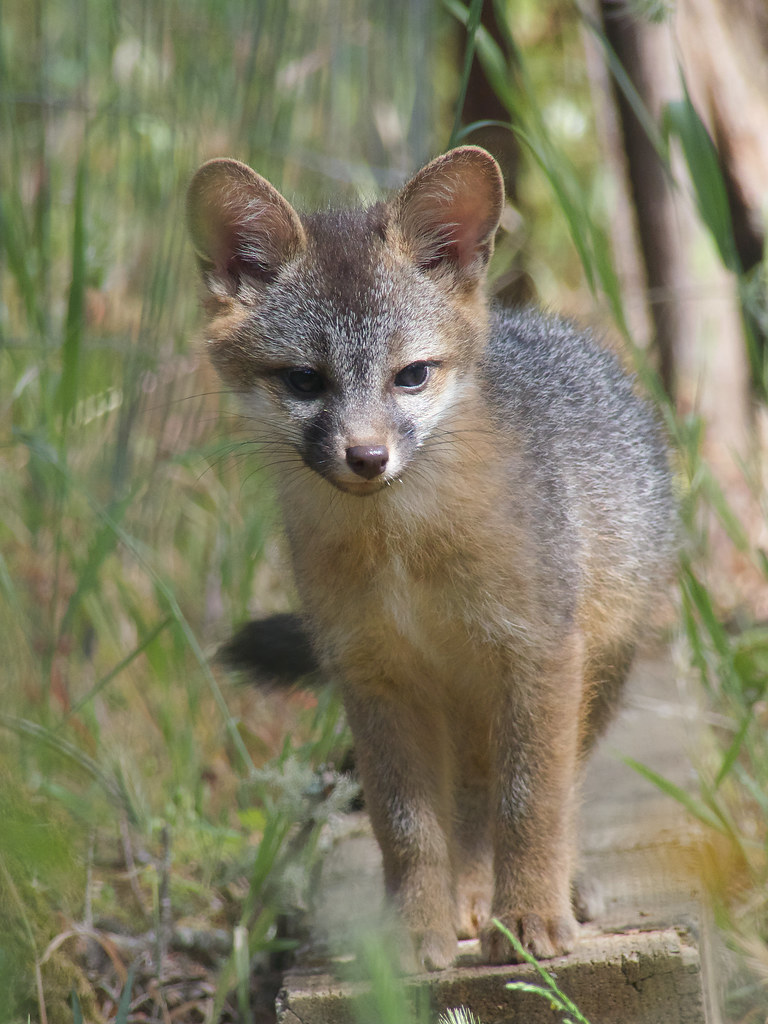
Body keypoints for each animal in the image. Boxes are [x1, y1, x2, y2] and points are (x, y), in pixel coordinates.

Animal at [186, 146, 677, 971]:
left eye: (411, 375)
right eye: (304, 381)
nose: (366, 456)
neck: (402, 553)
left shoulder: (539, 653)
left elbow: (531, 805)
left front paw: (532, 916)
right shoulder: (374, 675)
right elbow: (407, 827)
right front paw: (414, 936)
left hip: (590, 674)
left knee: (535, 790)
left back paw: (544, 895)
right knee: (466, 807)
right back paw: (469, 902)